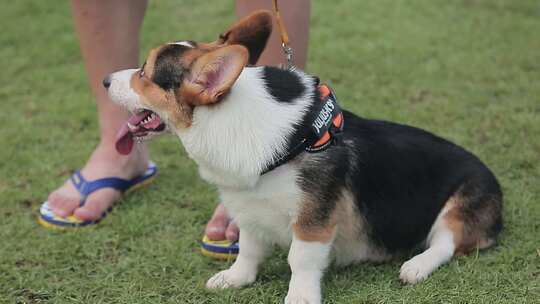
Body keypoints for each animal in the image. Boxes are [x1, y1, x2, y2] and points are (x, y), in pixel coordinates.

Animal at [104, 10, 502, 302]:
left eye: (144, 74)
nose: (105, 80)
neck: (230, 121)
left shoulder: (314, 221)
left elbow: (301, 259)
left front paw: (300, 297)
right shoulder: (249, 210)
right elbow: (249, 249)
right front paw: (235, 278)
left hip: (462, 201)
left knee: (446, 243)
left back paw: (416, 266)